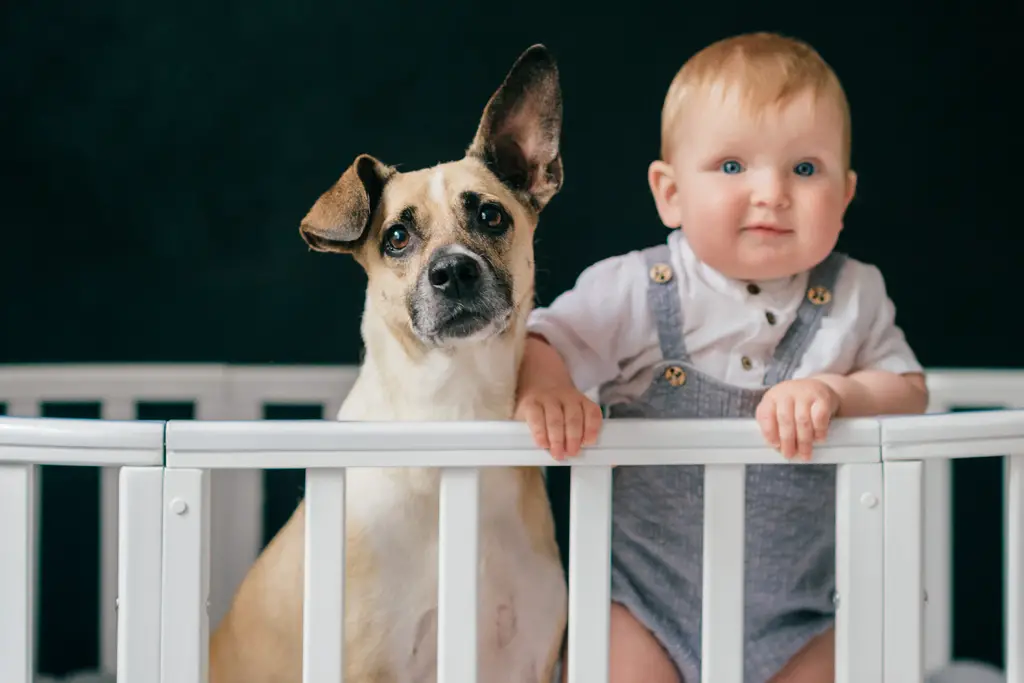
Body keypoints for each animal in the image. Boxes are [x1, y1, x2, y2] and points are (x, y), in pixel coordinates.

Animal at [208, 44, 573, 683]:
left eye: (491, 217)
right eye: (397, 236)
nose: (453, 271)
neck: (454, 411)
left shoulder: (527, 659)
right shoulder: (369, 663)